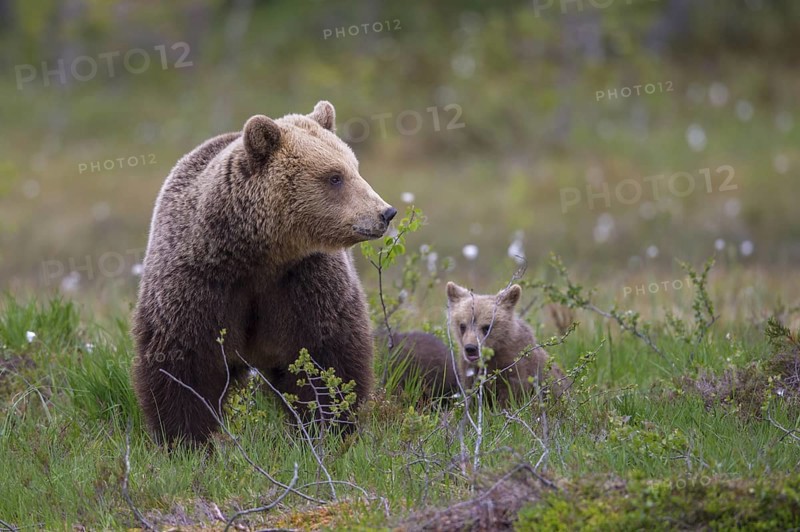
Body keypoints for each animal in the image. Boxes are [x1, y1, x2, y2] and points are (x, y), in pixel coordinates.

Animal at [131, 101, 397, 445]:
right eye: (335, 177)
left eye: (355, 167)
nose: (386, 213)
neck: (261, 255)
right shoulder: (199, 281)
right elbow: (184, 363)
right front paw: (186, 439)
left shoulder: (305, 280)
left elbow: (327, 355)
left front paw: (328, 427)